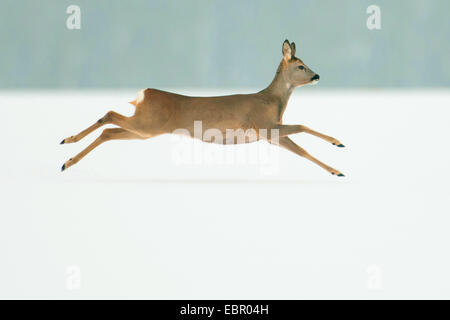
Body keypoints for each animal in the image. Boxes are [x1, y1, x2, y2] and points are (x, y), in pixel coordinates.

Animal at [61, 39, 346, 178]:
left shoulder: (270, 134)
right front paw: (338, 147)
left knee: (109, 130)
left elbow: (303, 150)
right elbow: (303, 128)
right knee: (109, 116)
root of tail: (143, 95)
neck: (272, 102)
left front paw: (337, 167)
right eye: (300, 66)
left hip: (144, 130)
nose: (317, 75)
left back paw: (66, 153)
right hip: (147, 125)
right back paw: (67, 152)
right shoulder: (264, 126)